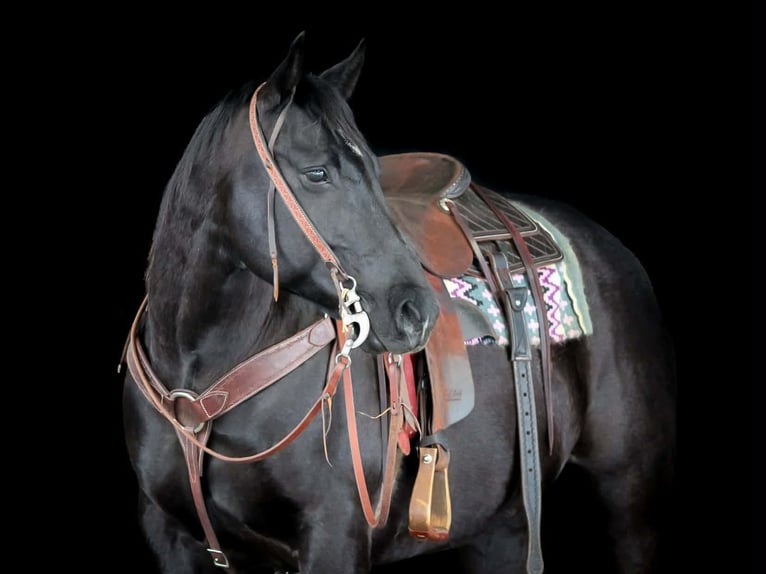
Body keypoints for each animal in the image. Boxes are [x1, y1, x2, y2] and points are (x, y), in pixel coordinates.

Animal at [120, 32, 676, 573]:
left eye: (371, 167)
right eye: (317, 173)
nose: (417, 313)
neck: (201, 384)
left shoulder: (334, 535)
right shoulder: (168, 535)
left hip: (629, 502)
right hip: (504, 529)